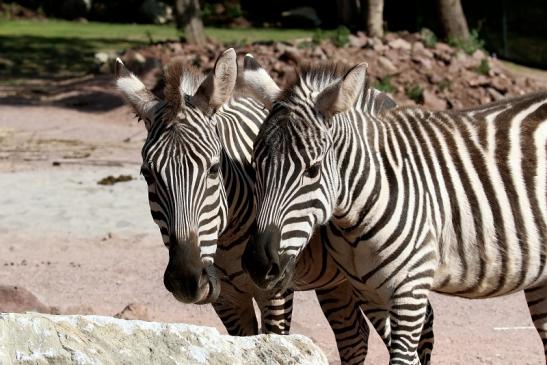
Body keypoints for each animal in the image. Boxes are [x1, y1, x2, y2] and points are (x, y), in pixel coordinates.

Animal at [114, 49, 374, 364]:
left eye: (214, 169)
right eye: (147, 175)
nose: (185, 280)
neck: (227, 241)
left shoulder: (276, 291)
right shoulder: (226, 299)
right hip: (335, 281)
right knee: (354, 334)